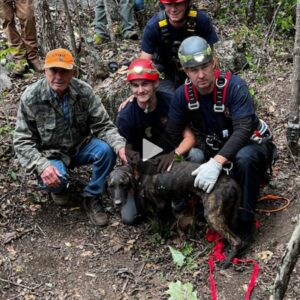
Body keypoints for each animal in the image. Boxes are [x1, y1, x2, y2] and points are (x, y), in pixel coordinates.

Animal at [108, 162, 244, 268]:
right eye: (111, 186)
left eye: (123, 184)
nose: (117, 203)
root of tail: (232, 182)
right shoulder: (166, 204)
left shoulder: (160, 205)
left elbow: (159, 224)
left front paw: (160, 237)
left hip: (212, 217)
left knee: (237, 241)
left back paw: (226, 262)